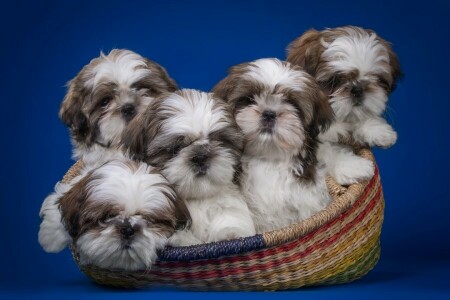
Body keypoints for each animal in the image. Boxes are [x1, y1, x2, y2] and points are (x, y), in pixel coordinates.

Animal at [288, 26, 404, 185]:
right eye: (334, 81)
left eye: (377, 79)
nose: (357, 90)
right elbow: (327, 150)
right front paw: (354, 167)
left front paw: (377, 130)